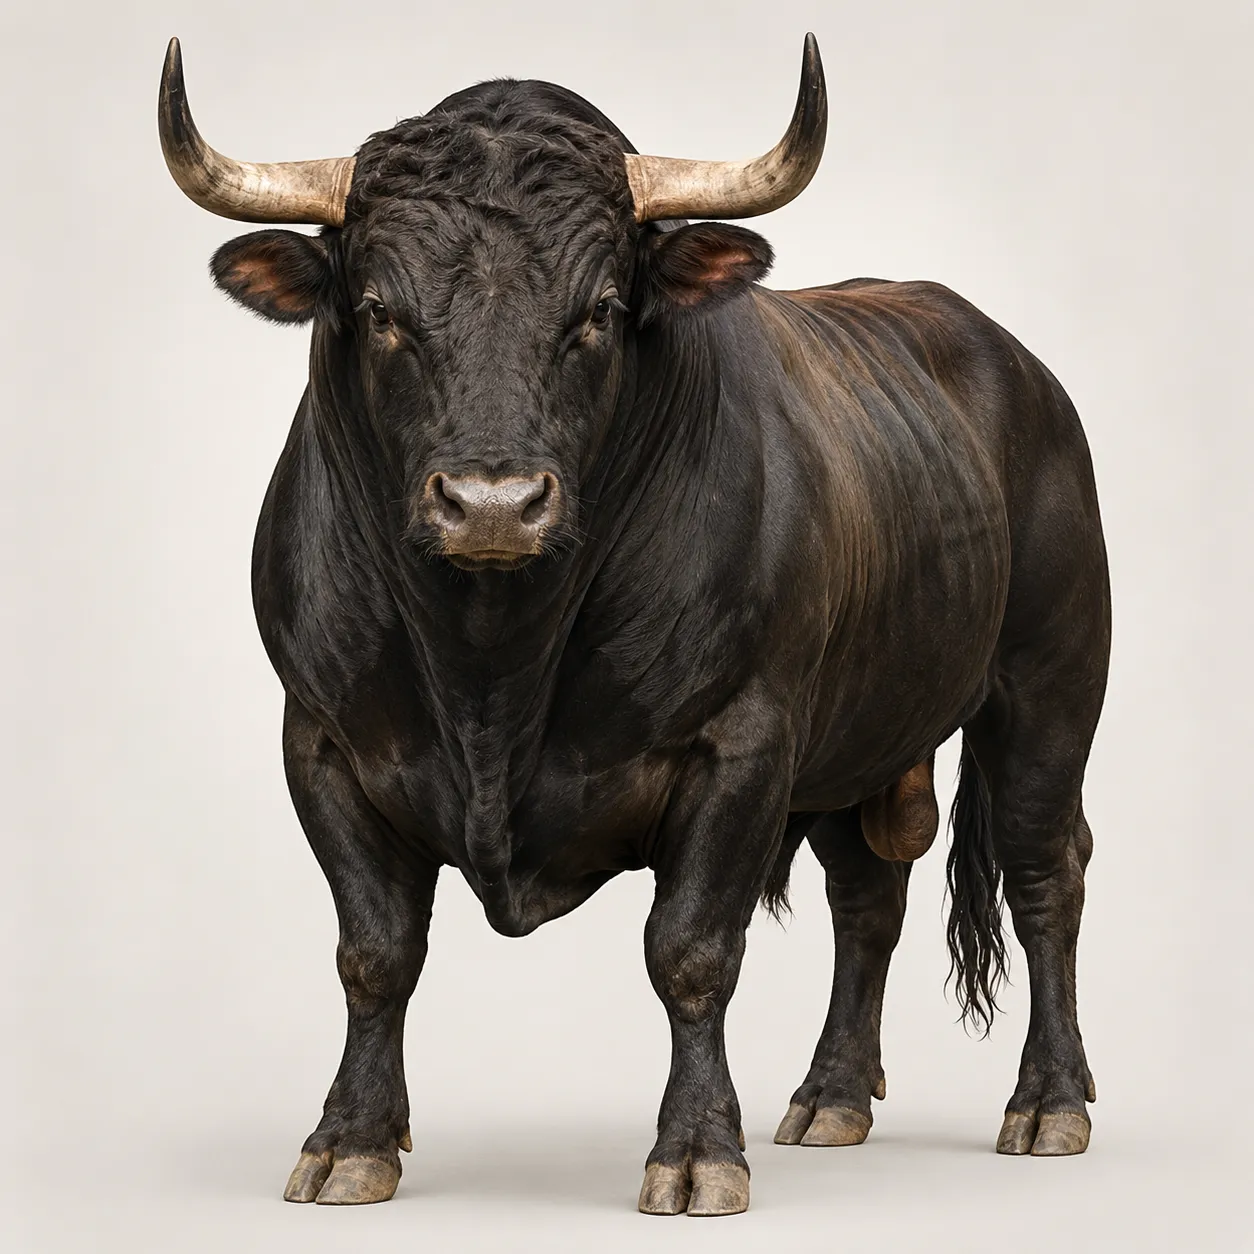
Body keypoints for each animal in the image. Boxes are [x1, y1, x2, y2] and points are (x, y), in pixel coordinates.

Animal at [158, 32, 1110, 1216]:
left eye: (601, 309)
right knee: (867, 895)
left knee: (1044, 875)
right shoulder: (324, 743)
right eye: (378, 308)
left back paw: (1049, 1102)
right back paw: (831, 1096)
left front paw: (698, 1152)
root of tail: (1016, 364)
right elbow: (374, 952)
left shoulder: (739, 745)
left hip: (1048, 694)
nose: (492, 503)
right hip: (859, 736)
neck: (491, 665)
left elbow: (691, 951)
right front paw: (350, 1141)